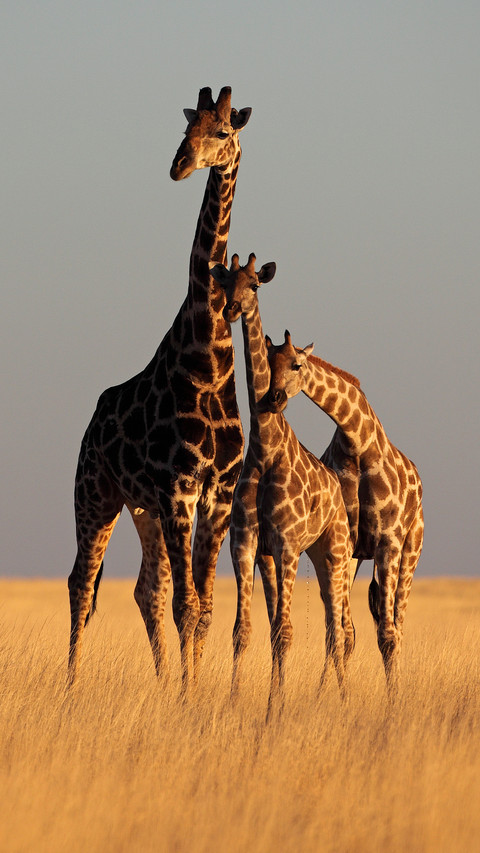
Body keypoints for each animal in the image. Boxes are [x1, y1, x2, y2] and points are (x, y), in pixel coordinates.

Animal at [68, 87, 252, 692]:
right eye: (187, 126)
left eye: (223, 131)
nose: (178, 165)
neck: (208, 356)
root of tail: (91, 422)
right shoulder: (179, 490)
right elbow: (187, 606)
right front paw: (189, 697)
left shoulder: (215, 493)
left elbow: (203, 607)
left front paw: (188, 693)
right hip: (95, 495)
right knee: (82, 584)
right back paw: (71, 686)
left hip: (141, 507)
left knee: (146, 588)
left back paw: (162, 680)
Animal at [209, 254, 354, 714]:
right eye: (225, 281)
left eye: (254, 284)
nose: (231, 309)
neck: (265, 445)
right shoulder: (247, 543)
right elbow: (246, 630)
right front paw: (237, 701)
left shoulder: (288, 542)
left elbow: (287, 632)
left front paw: (277, 709)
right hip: (284, 558)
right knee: (300, 626)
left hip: (333, 552)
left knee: (338, 630)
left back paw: (342, 699)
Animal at [265, 332, 424, 693]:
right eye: (267, 363)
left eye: (296, 365)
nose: (274, 397)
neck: (357, 443)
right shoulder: (347, 542)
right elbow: (343, 632)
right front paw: (327, 692)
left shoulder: (388, 540)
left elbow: (387, 635)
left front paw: (393, 700)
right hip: (355, 556)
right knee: (345, 629)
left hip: (411, 548)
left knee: (398, 624)